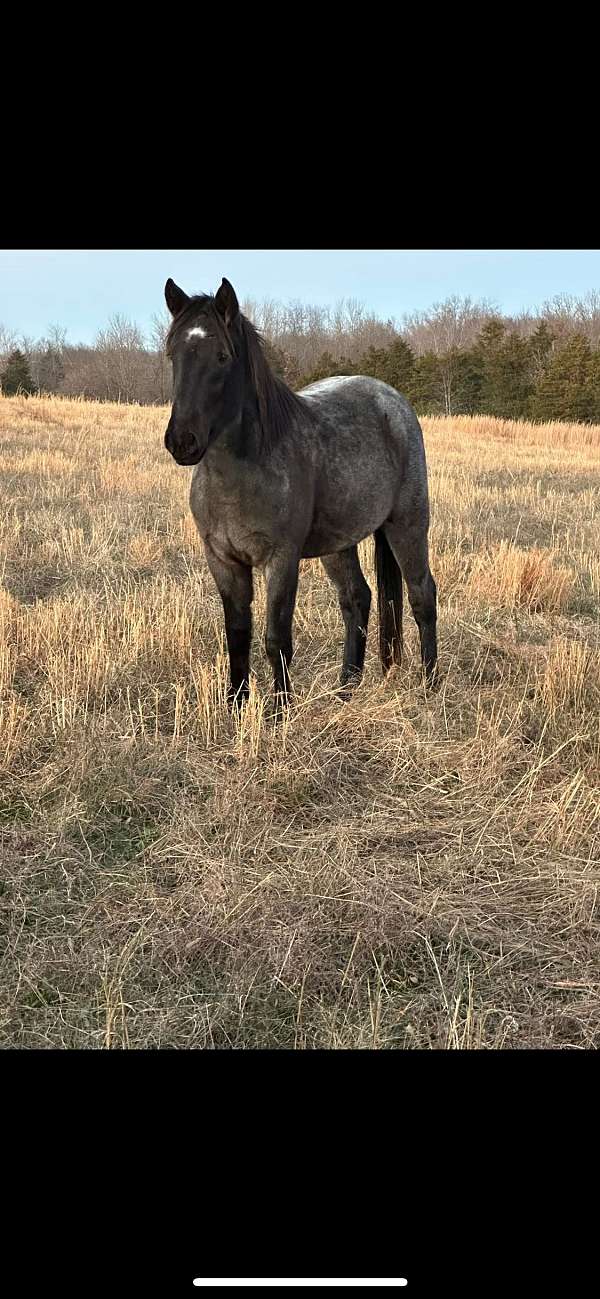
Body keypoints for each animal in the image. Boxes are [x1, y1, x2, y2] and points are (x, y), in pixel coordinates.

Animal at [162, 274, 436, 711]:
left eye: (221, 357)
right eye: (173, 354)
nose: (182, 442)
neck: (240, 472)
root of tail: (392, 401)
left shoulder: (282, 559)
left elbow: (277, 638)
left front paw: (280, 711)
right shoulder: (222, 559)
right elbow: (237, 635)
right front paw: (236, 706)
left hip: (407, 525)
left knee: (421, 594)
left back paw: (430, 686)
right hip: (339, 543)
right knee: (357, 599)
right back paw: (345, 689)